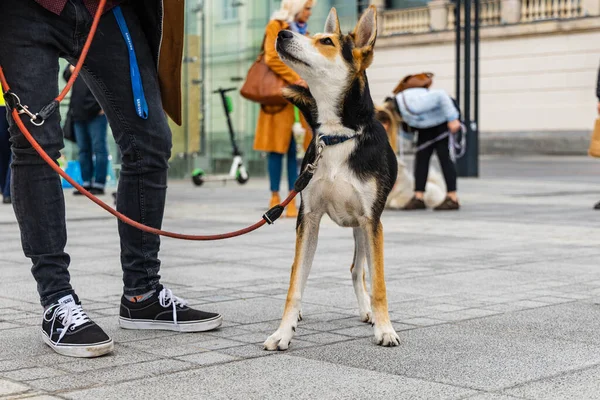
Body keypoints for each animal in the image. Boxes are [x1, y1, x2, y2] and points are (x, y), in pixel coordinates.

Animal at [262, 5, 398, 350]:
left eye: (326, 41)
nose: (282, 33)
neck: (337, 136)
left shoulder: (371, 220)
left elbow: (378, 282)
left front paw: (385, 328)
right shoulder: (307, 217)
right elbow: (296, 281)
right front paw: (283, 332)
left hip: (363, 228)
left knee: (357, 269)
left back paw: (368, 313)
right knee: (302, 269)